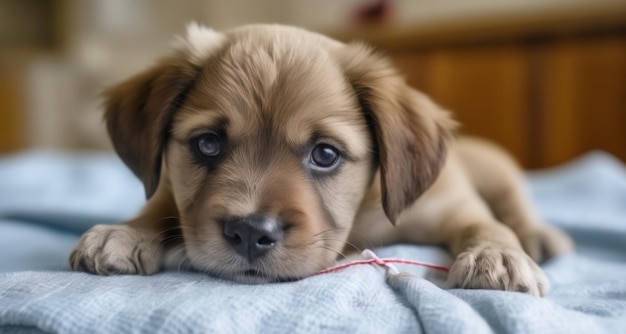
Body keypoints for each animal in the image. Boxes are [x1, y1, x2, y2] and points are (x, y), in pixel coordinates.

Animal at [68, 22, 572, 294]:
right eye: (207, 144)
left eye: (325, 154)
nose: (249, 233)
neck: (362, 219)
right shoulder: (173, 190)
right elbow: (162, 205)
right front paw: (124, 232)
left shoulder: (454, 206)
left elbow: (488, 224)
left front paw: (498, 256)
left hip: (497, 169)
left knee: (514, 205)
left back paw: (538, 235)